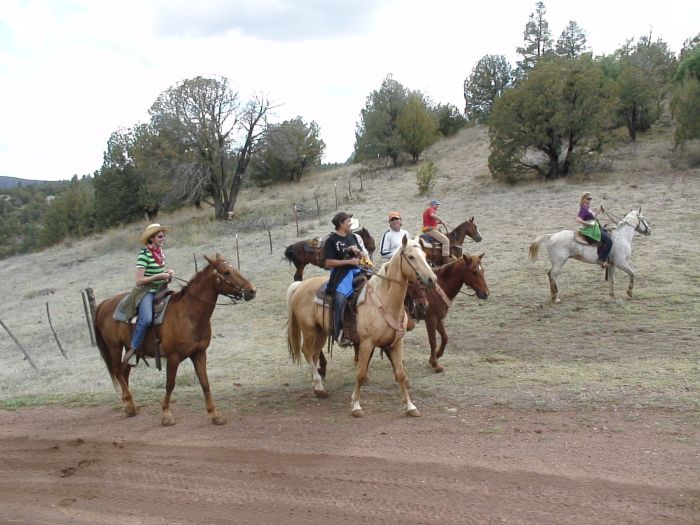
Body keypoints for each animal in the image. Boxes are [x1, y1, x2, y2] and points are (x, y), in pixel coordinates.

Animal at [94, 254, 256, 426]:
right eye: (226, 272)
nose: (252, 291)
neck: (188, 316)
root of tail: (105, 303)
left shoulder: (199, 353)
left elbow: (205, 383)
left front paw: (215, 414)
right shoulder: (173, 357)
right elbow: (170, 385)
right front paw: (166, 414)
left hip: (129, 349)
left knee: (124, 371)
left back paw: (129, 405)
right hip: (115, 347)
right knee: (118, 371)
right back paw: (130, 404)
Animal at [288, 235, 434, 416]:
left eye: (425, 256)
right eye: (412, 257)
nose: (432, 279)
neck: (384, 300)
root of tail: (300, 286)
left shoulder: (397, 342)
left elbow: (400, 373)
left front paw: (410, 406)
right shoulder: (366, 343)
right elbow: (361, 373)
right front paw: (356, 405)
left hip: (321, 331)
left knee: (314, 354)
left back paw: (317, 387)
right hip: (308, 329)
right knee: (307, 351)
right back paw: (319, 386)